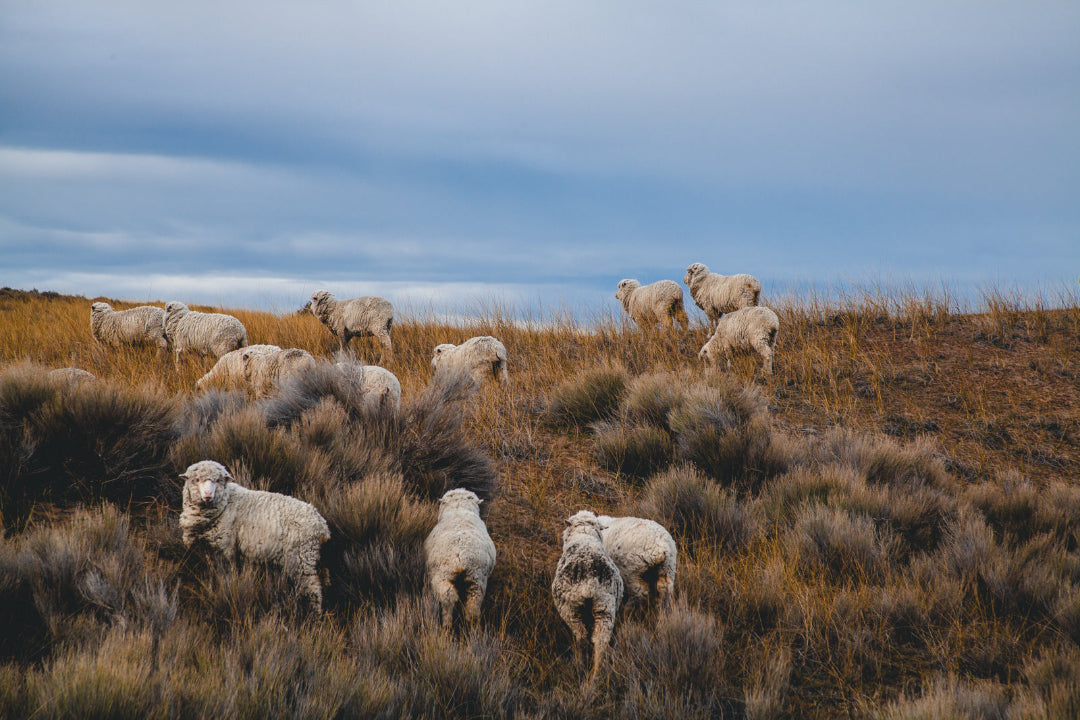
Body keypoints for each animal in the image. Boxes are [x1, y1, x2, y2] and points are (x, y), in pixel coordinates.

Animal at [178, 460, 330, 612]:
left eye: (218, 480)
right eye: (197, 480)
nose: (208, 495)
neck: (226, 503)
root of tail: (321, 524)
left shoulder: (226, 549)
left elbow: (224, 575)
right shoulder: (206, 549)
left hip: (300, 558)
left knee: (312, 588)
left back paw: (314, 613)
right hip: (313, 558)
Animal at [423, 488, 497, 629]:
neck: (460, 511)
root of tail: (461, 556)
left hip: (442, 575)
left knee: (448, 596)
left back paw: (447, 624)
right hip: (477, 580)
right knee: (473, 606)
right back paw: (471, 627)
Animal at [551, 510, 624, 689]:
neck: (585, 536)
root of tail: (590, 583)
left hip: (571, 609)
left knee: (582, 638)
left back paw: (580, 667)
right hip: (605, 608)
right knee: (600, 642)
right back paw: (595, 677)